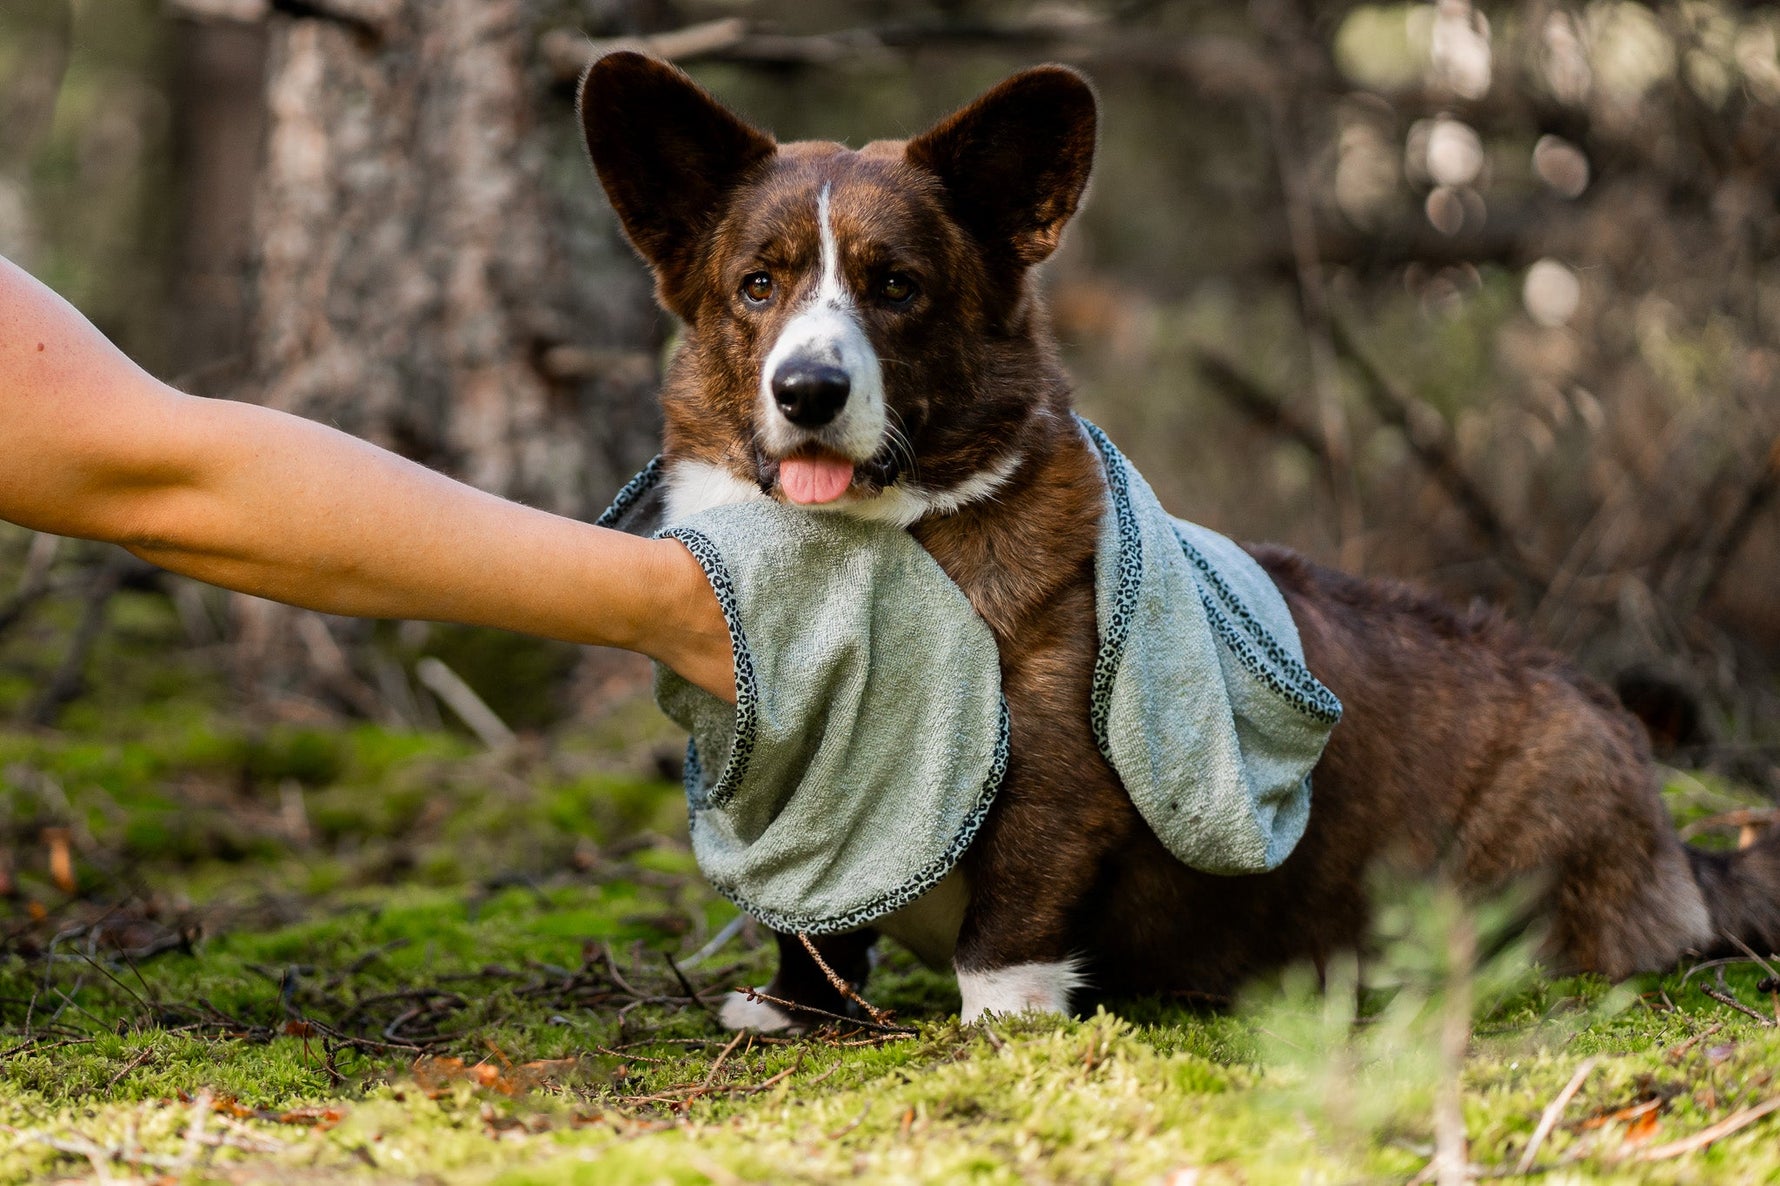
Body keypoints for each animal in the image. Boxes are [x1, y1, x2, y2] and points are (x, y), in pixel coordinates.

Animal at [573, 50, 1780, 1018]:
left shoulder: (1057, 784)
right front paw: (793, 1007)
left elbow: (1009, 918)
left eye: (898, 287)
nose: (809, 390)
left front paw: (1002, 1025)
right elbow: (815, 925)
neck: (862, 545)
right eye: (757, 285)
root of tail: (1670, 831)